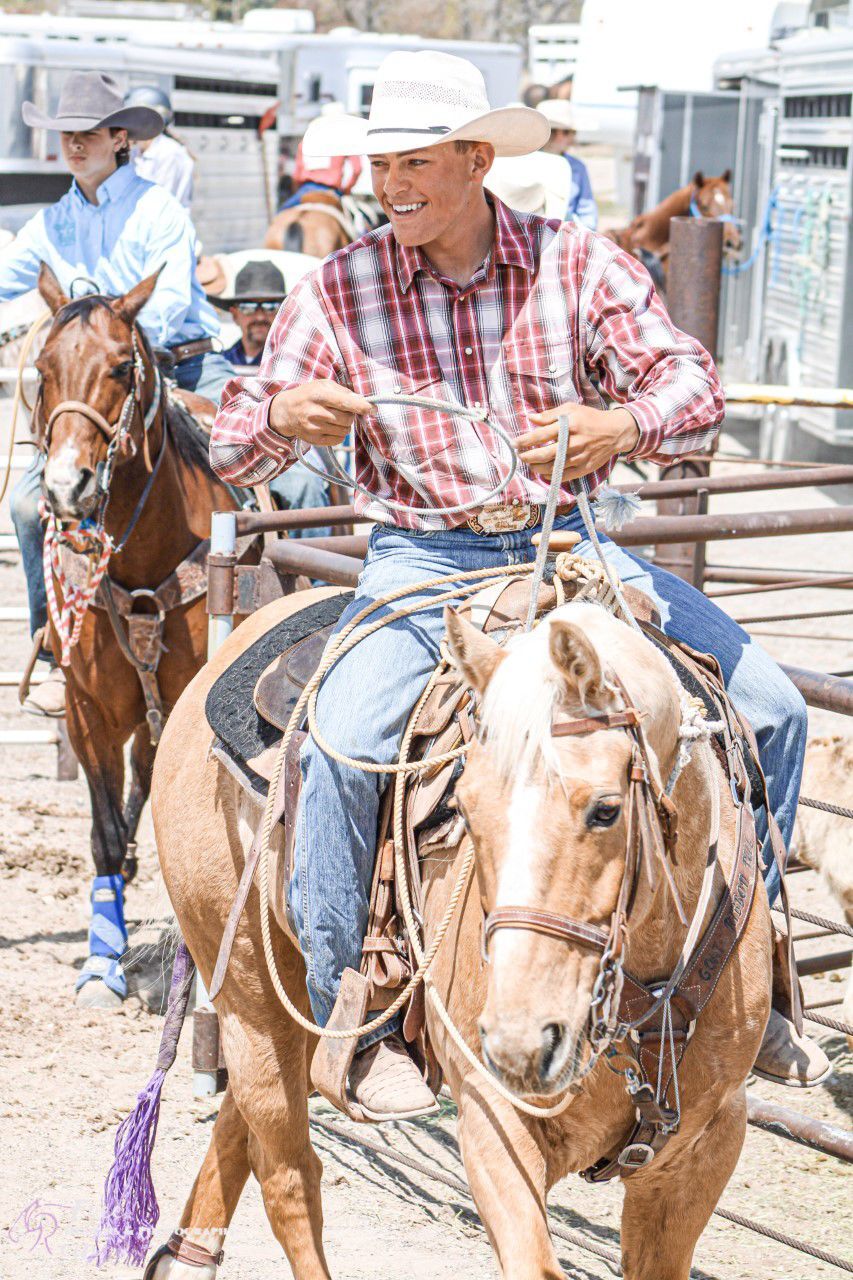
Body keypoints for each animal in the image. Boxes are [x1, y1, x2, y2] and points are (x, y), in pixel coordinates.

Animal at [34, 262, 242, 1008]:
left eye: (122, 367)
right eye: (42, 368)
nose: (67, 487)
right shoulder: (87, 710)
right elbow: (101, 832)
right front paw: (102, 966)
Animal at [142, 588, 768, 1280]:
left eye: (606, 809)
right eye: (464, 807)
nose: (520, 1043)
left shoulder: (704, 1150)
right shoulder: (495, 1123)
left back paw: (188, 1256)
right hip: (250, 996)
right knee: (287, 1173)